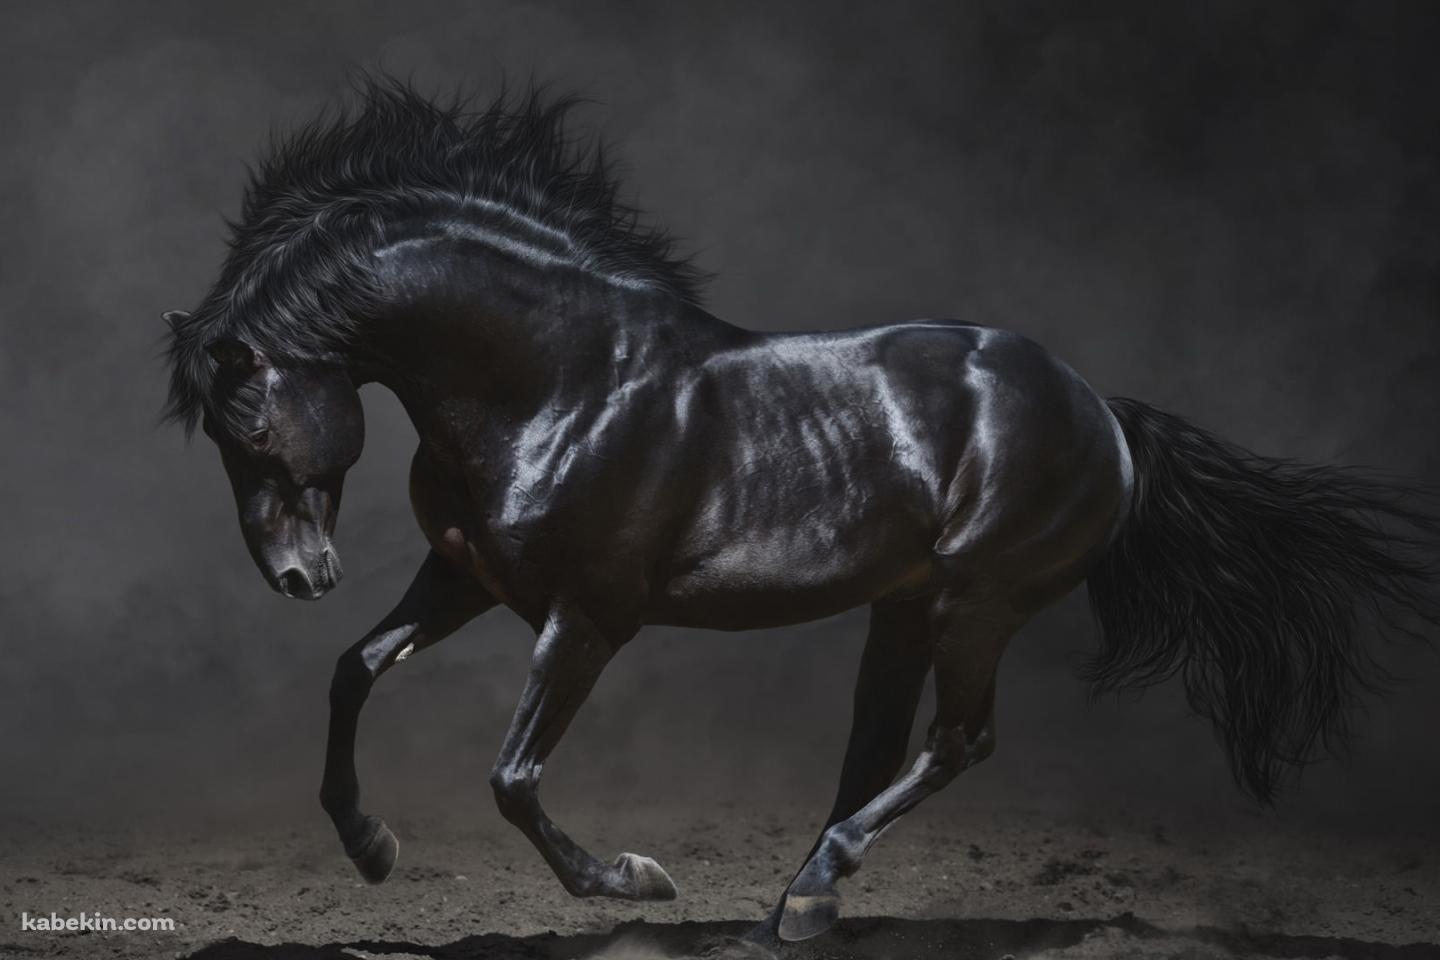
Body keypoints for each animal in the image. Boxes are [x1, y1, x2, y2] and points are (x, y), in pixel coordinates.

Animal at [162, 77, 1439, 946]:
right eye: (220, 440)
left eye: (251, 426)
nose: (297, 576)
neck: (562, 381)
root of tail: (1102, 413)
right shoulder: (466, 577)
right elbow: (354, 671)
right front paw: (371, 849)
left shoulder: (589, 615)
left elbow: (512, 776)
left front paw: (634, 879)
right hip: (907, 608)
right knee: (878, 744)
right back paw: (794, 901)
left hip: (980, 602)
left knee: (957, 742)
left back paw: (813, 895)